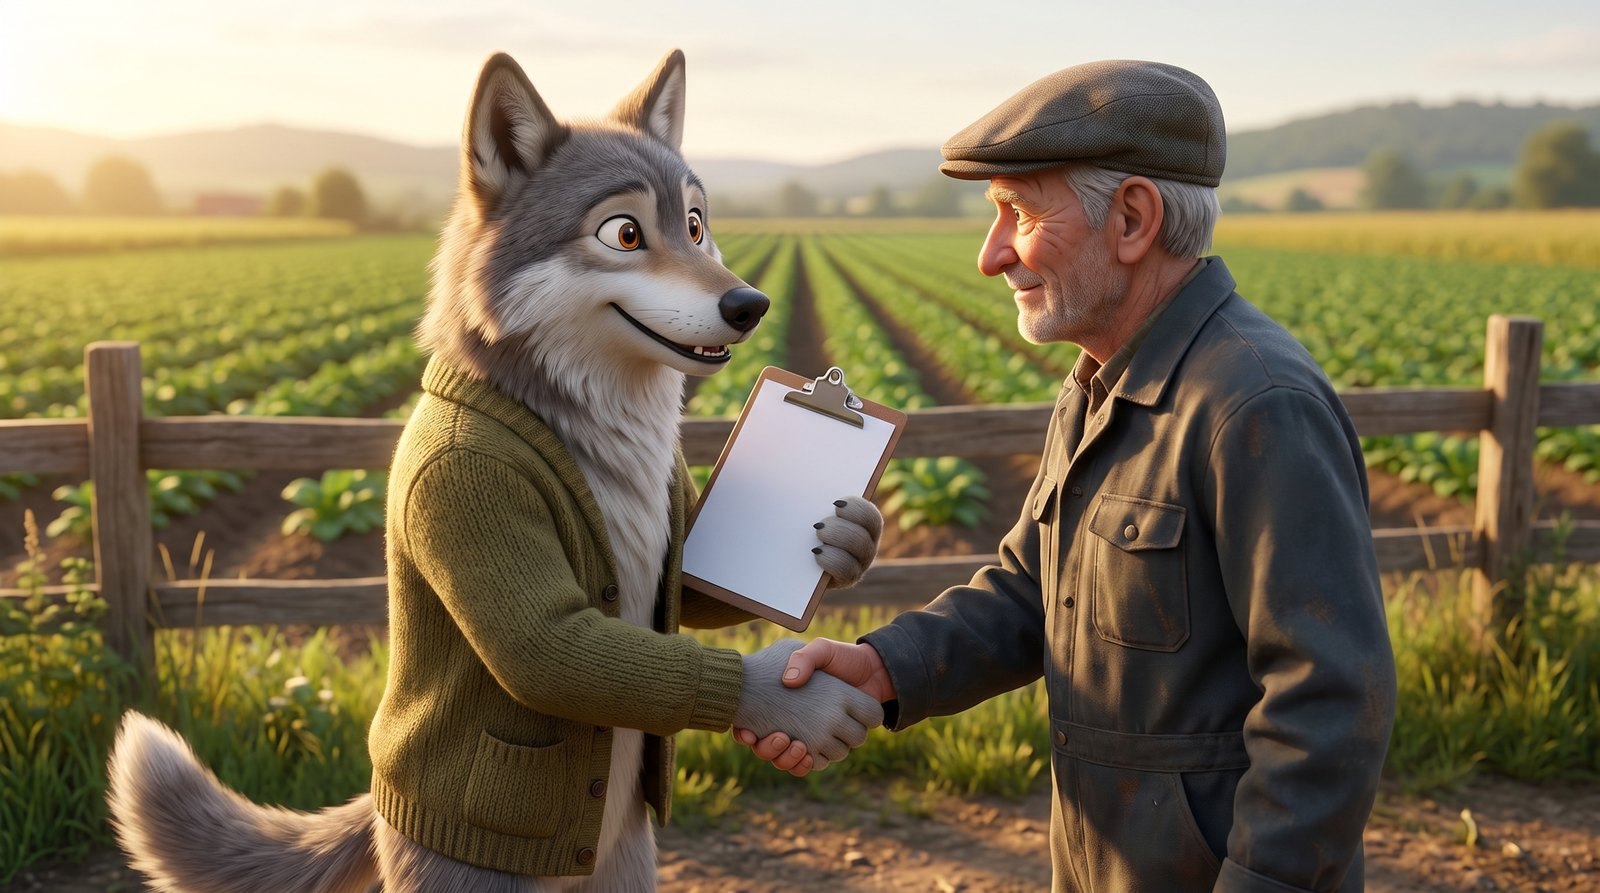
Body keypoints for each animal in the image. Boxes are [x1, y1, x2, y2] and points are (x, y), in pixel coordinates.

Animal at [108, 49, 886, 893]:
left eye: (695, 224)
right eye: (625, 232)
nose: (752, 304)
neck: (598, 428)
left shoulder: (677, 535)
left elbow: (697, 589)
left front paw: (851, 540)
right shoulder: (467, 490)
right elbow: (547, 646)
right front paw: (792, 698)